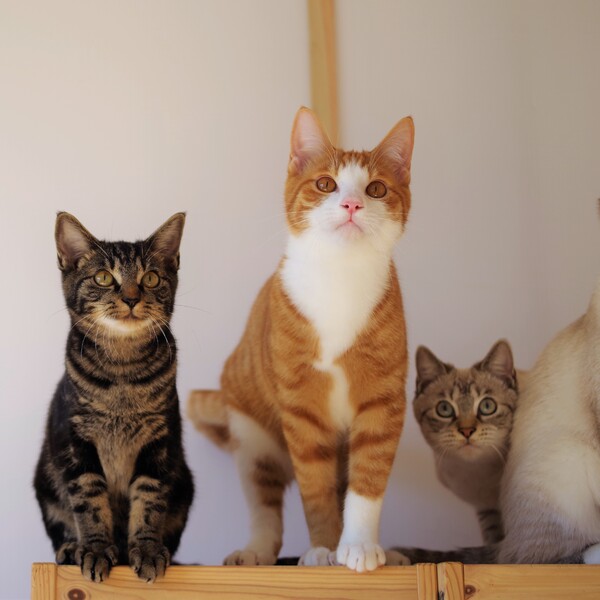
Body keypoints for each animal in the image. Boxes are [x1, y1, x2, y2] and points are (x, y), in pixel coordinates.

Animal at [34, 212, 194, 583]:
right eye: (104, 277)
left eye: (151, 278)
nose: (132, 298)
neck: (123, 372)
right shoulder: (75, 442)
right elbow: (90, 500)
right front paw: (93, 549)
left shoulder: (161, 443)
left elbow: (150, 501)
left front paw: (147, 549)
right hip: (45, 483)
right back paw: (71, 549)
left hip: (185, 486)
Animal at [188, 106, 414, 572]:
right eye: (326, 184)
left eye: (377, 188)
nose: (351, 204)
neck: (341, 279)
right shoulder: (302, 409)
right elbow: (316, 490)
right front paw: (324, 549)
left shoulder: (383, 402)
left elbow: (368, 481)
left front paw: (359, 546)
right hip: (254, 441)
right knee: (265, 507)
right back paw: (254, 551)